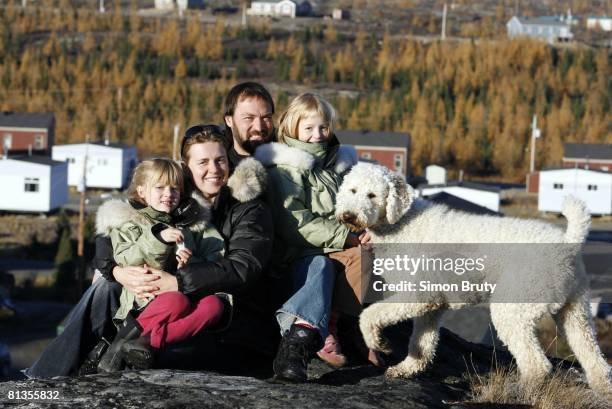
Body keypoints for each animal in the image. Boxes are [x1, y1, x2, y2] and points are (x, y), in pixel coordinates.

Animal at [338, 163, 608, 396]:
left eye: (372, 195)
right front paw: (407, 368)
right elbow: (422, 341)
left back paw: (520, 391)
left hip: (514, 308)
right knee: (596, 361)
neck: (401, 224)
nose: (348, 215)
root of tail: (567, 244)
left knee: (536, 364)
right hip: (575, 312)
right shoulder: (432, 305)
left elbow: (370, 314)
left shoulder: (418, 294)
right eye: (352, 190)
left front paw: (378, 342)